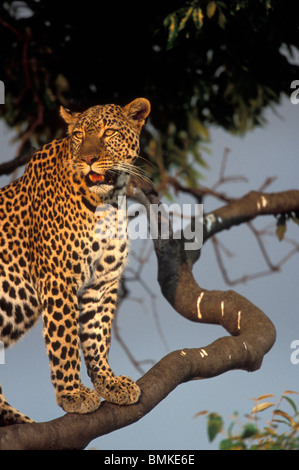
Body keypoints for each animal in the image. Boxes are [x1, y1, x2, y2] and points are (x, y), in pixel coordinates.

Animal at [0, 96, 150, 426]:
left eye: (109, 132)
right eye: (79, 135)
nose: (89, 159)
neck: (107, 203)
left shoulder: (103, 283)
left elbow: (97, 335)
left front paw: (109, 382)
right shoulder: (57, 279)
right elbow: (65, 338)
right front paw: (73, 394)